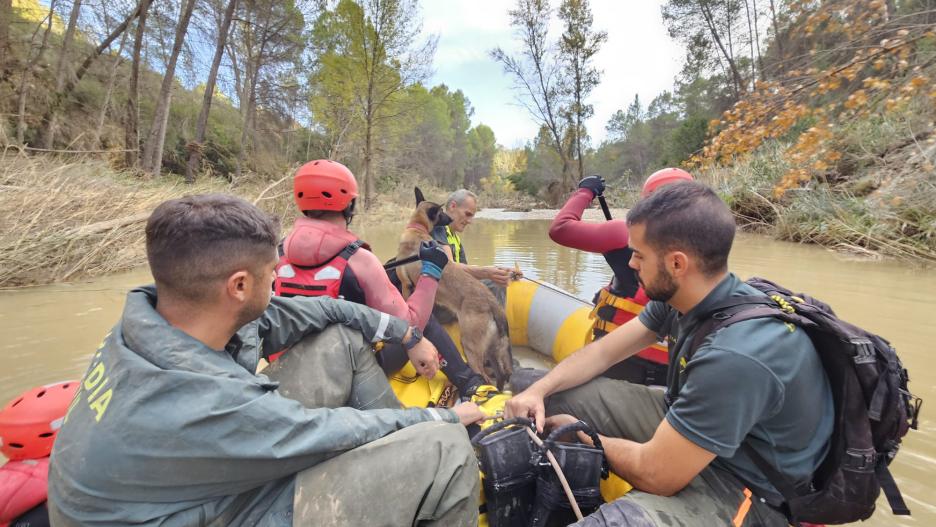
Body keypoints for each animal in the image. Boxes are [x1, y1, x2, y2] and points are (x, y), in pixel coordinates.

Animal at [394, 188, 512, 390]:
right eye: (442, 213)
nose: (449, 219)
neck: (417, 229)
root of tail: (492, 303)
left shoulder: (406, 285)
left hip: (469, 345)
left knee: (484, 377)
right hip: (491, 350)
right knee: (500, 375)